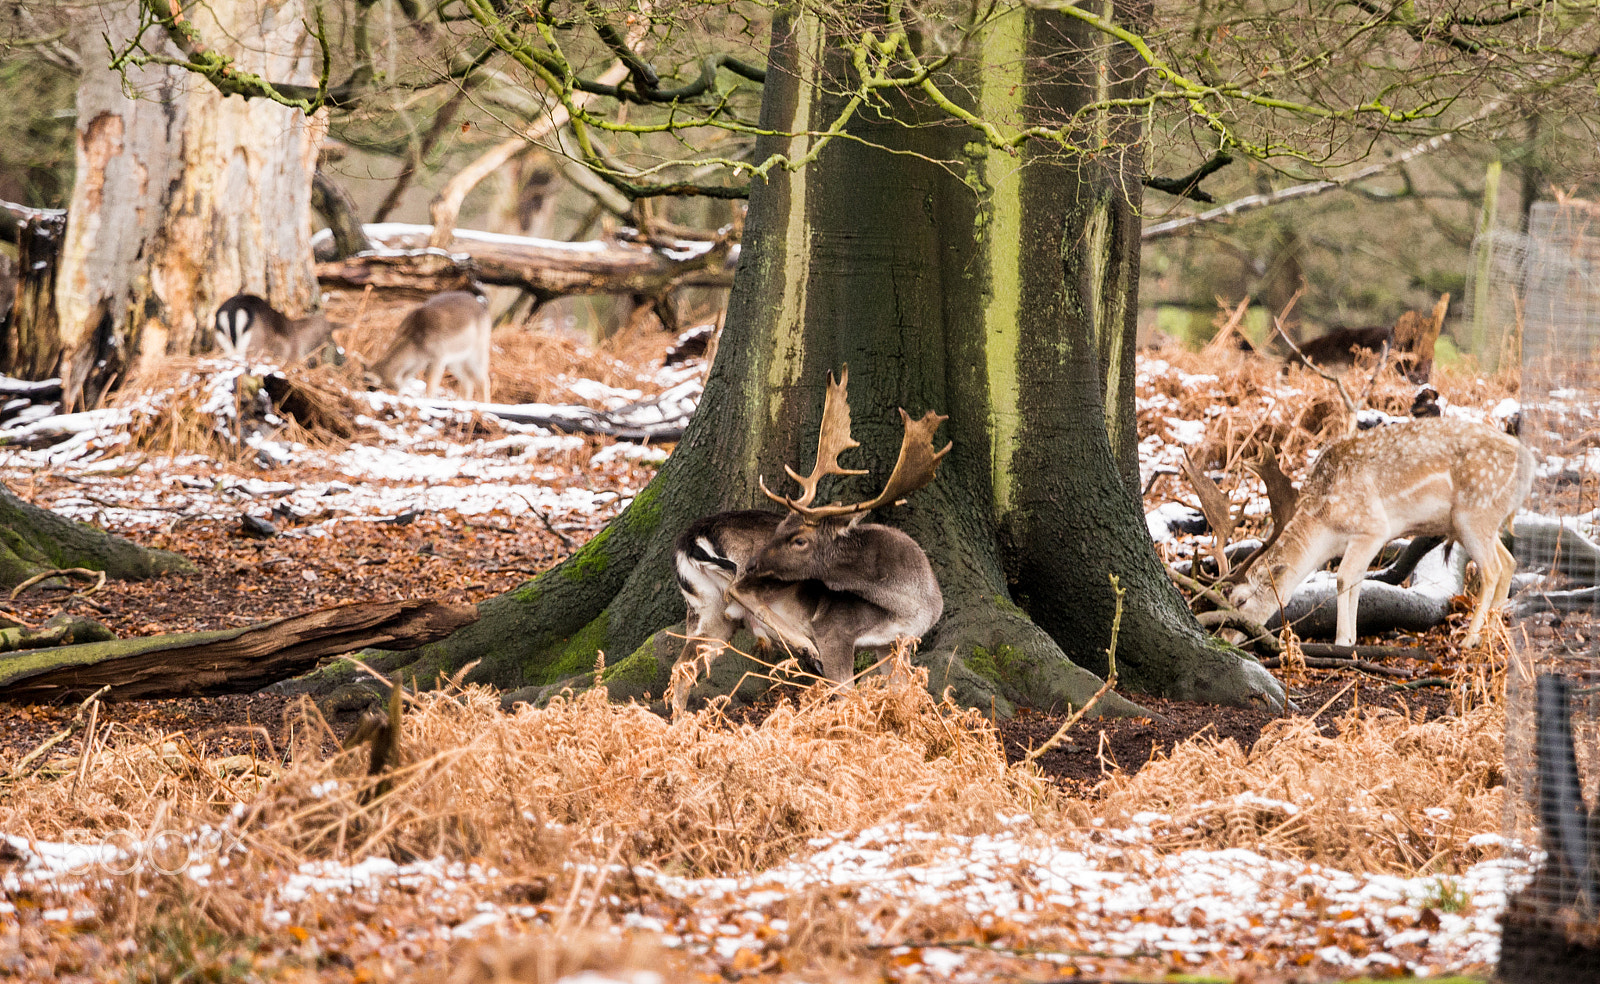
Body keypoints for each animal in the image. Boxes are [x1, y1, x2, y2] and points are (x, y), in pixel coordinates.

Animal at [672, 368, 947, 707]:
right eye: (780, 528)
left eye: (799, 538)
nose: (752, 563)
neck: (910, 606)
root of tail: (688, 541)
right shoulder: (836, 630)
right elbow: (847, 695)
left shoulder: (895, 644)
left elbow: (902, 694)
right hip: (751, 584)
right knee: (738, 591)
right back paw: (805, 646)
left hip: (706, 610)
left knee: (682, 667)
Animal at [1222, 419, 1536, 649]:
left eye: (1241, 600)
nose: (1224, 637)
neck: (1326, 526)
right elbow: (1357, 580)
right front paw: (1352, 637)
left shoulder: (1373, 528)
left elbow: (1343, 578)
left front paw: (1342, 642)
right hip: (1478, 523)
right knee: (1509, 562)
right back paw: (1491, 635)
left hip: (1474, 514)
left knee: (1492, 570)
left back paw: (1470, 639)